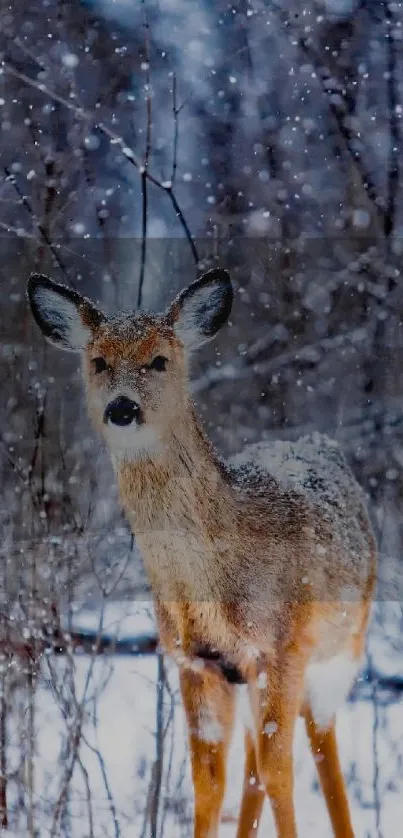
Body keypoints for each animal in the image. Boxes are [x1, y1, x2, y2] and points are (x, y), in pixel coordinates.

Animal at [26, 270, 378, 838]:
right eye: (98, 361)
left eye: (159, 360)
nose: (122, 408)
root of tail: (319, 441)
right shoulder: (195, 661)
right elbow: (209, 784)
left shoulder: (283, 648)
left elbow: (281, 774)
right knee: (254, 763)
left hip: (342, 647)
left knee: (321, 745)